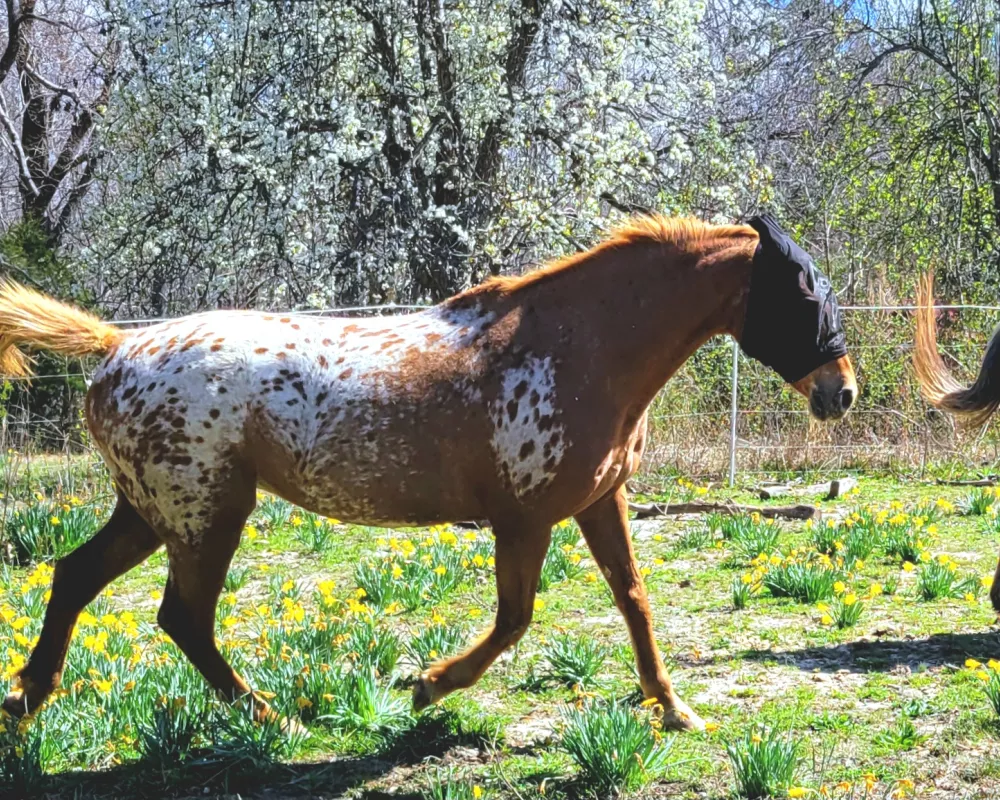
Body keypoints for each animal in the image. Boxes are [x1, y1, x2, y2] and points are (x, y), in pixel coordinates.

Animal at [0, 212, 860, 732]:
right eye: (806, 292)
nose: (842, 391)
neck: (578, 347)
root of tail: (116, 346)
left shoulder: (601, 501)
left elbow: (634, 601)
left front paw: (673, 707)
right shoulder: (523, 519)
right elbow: (515, 619)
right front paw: (429, 685)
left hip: (152, 513)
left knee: (74, 577)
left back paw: (29, 698)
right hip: (206, 516)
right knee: (183, 619)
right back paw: (271, 716)